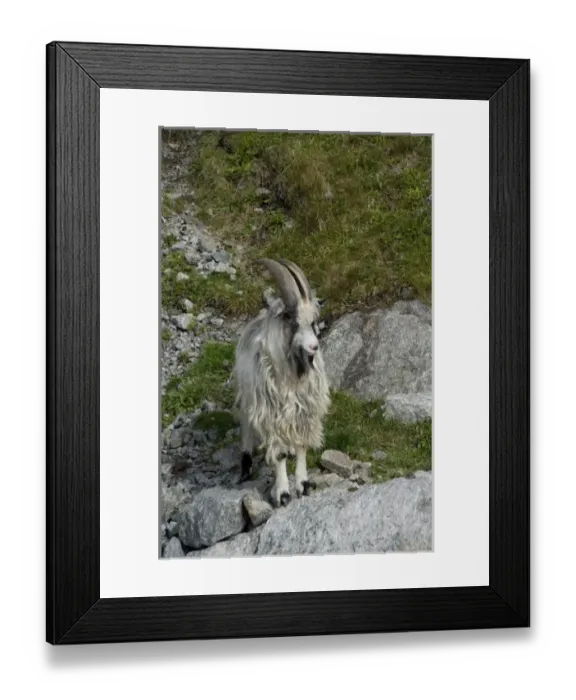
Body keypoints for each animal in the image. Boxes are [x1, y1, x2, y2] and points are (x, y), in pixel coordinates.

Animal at [233, 258, 330, 507]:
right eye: (293, 322)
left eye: (313, 321)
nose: (314, 346)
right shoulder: (271, 414)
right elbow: (279, 454)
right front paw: (283, 493)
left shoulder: (304, 411)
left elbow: (302, 444)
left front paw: (303, 484)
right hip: (248, 397)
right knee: (246, 424)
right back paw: (245, 467)